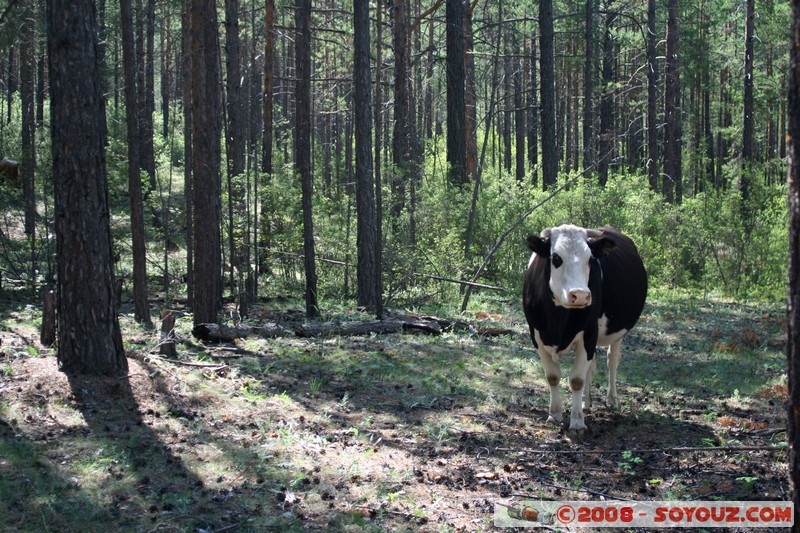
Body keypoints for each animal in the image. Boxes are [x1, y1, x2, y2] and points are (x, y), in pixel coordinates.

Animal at [523, 224, 647, 432]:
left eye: (590, 259)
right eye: (556, 258)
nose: (580, 295)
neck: (558, 321)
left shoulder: (588, 333)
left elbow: (576, 380)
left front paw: (577, 422)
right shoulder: (537, 335)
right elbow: (553, 376)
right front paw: (554, 414)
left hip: (617, 334)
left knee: (612, 360)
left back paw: (611, 399)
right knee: (592, 366)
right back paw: (586, 401)